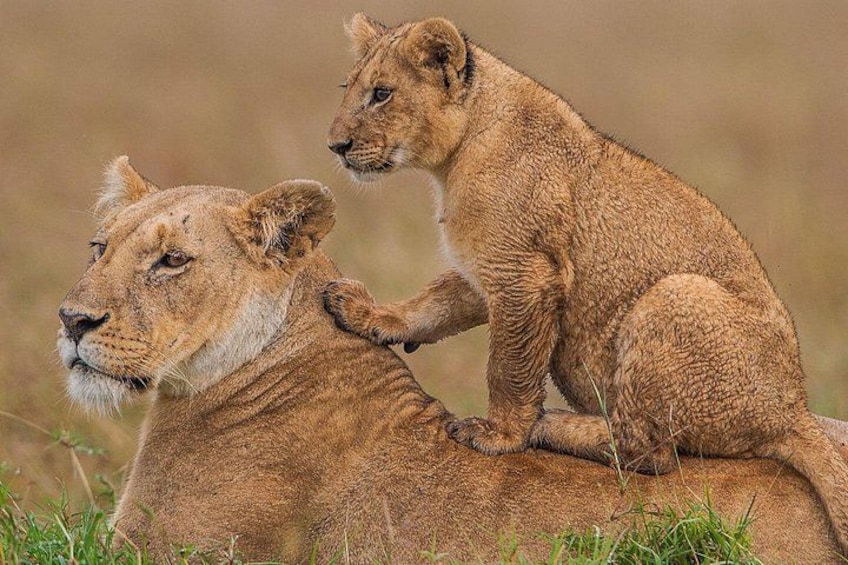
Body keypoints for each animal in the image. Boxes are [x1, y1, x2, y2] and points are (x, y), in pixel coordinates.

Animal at [323, 14, 848, 552]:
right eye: (351, 88)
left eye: (382, 93)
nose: (336, 147)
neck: (457, 154)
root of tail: (792, 408)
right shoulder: (485, 269)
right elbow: (434, 304)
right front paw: (368, 315)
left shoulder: (526, 273)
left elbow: (508, 368)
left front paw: (499, 434)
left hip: (674, 295)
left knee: (649, 452)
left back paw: (551, 423)